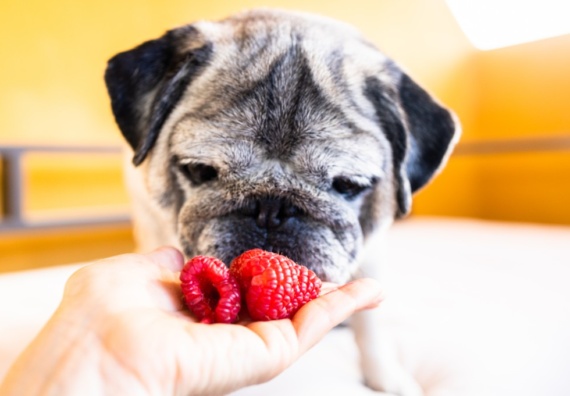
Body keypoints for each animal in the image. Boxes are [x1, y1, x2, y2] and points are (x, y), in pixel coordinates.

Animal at [103, 6, 458, 396]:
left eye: (347, 184)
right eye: (199, 171)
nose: (270, 208)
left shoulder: (372, 251)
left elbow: (372, 325)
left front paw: (385, 377)